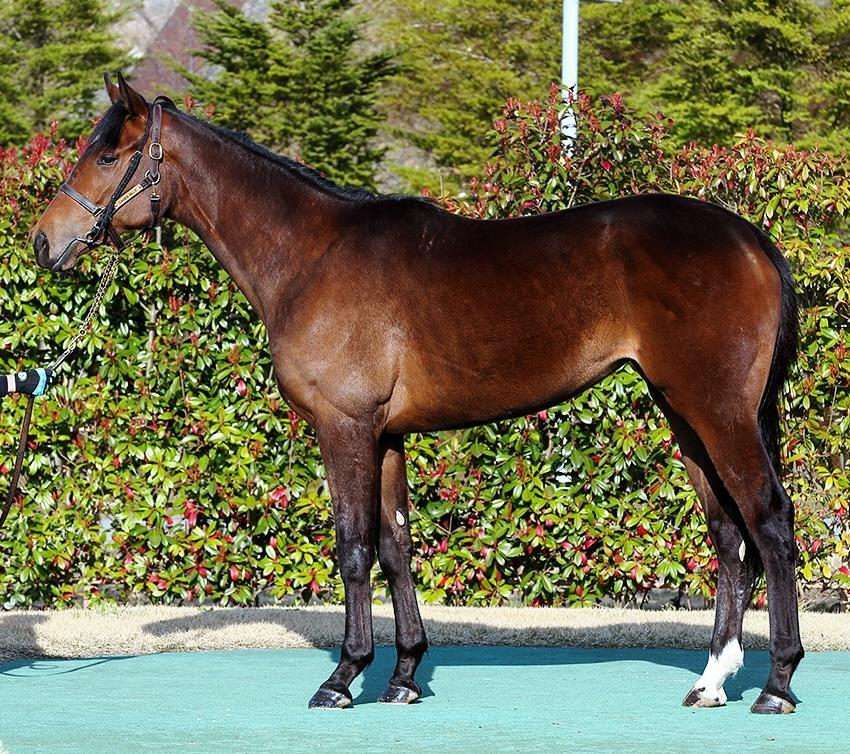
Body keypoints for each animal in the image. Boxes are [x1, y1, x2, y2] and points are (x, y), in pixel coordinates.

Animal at [31, 75, 800, 712]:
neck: (310, 254)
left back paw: (777, 684)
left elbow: (353, 546)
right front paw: (402, 677)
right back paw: (712, 681)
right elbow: (397, 546)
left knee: (770, 523)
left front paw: (344, 678)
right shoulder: (388, 435)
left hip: (719, 413)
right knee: (728, 535)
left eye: (108, 155)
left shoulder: (343, 426)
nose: (43, 242)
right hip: (685, 416)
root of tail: (748, 239)